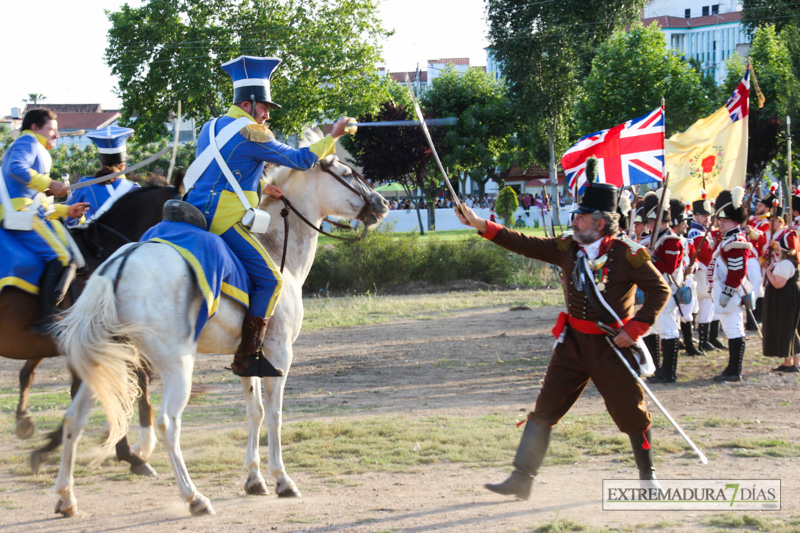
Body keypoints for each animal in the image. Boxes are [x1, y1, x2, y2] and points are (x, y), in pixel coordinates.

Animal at [51, 132, 390, 516]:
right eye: (347, 174)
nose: (382, 203)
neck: (273, 245)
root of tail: (117, 267)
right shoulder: (279, 354)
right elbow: (274, 415)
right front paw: (282, 479)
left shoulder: (249, 357)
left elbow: (255, 412)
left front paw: (254, 479)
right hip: (176, 365)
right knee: (168, 424)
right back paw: (194, 496)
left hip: (107, 360)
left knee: (73, 419)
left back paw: (66, 497)